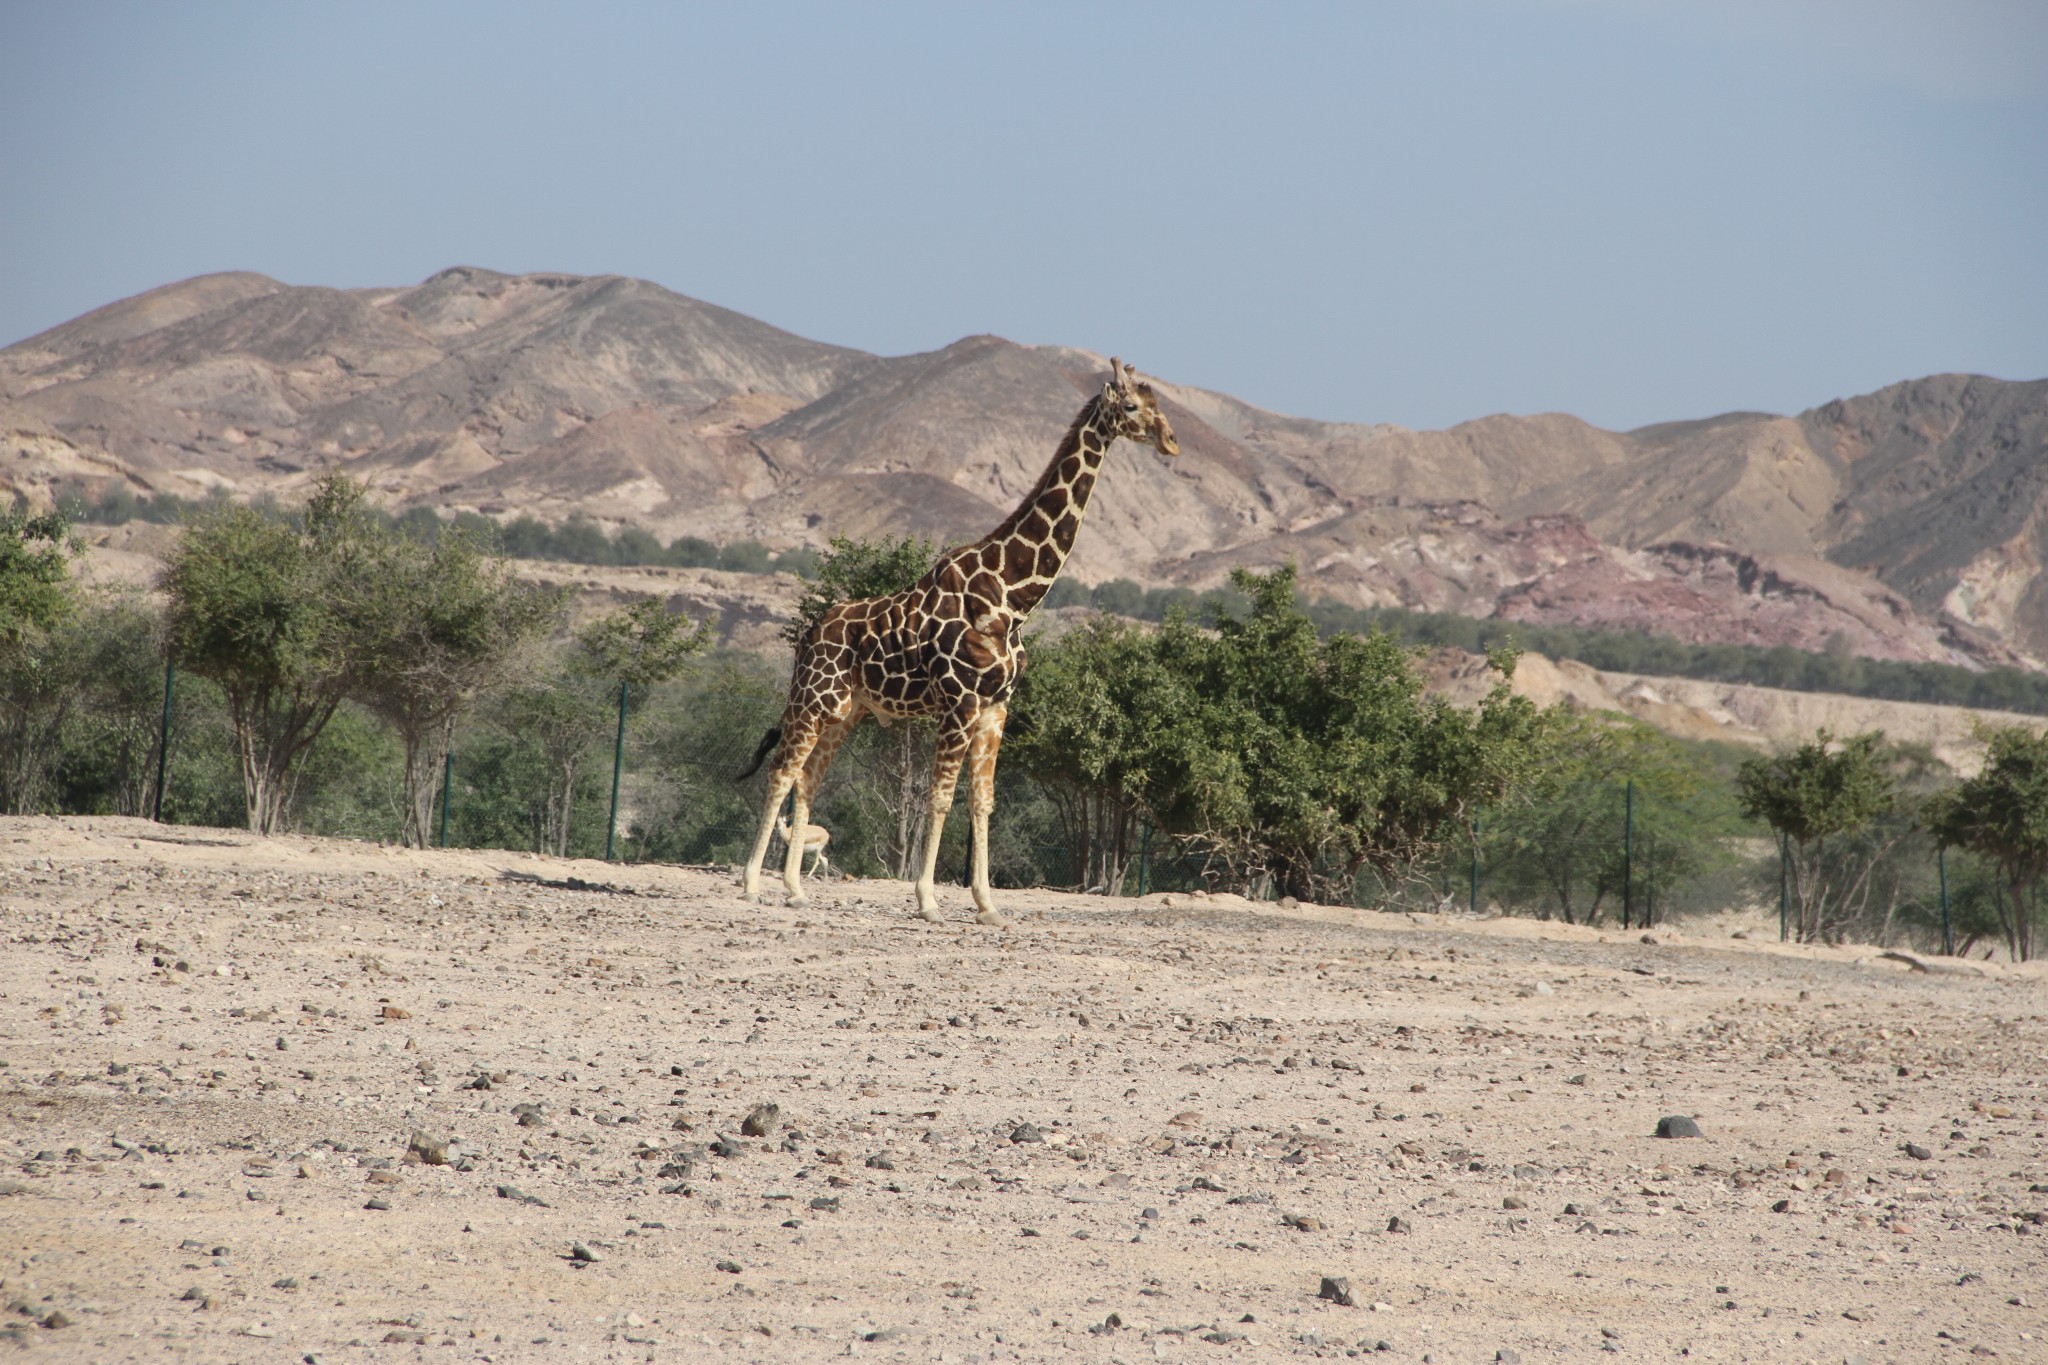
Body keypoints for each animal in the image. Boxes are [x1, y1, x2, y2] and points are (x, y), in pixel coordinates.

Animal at [745, 358, 1179, 925]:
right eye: (1131, 406)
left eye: (1158, 404)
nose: (1171, 441)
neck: (1013, 598)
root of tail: (811, 634)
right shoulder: (961, 703)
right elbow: (941, 797)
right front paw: (928, 901)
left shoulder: (996, 707)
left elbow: (982, 801)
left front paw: (988, 904)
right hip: (811, 699)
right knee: (780, 773)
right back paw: (751, 885)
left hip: (846, 711)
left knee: (807, 780)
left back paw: (796, 890)